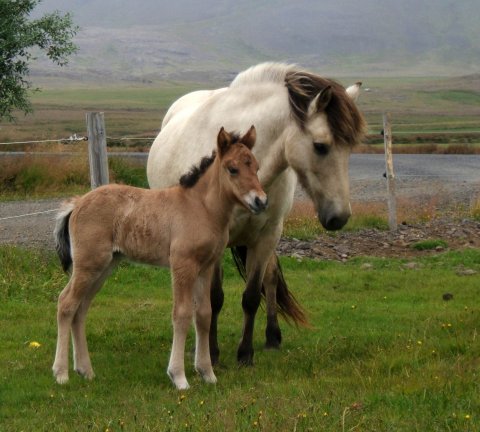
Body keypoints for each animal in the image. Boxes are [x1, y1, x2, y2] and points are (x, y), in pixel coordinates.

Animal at [52, 126, 266, 390]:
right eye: (232, 168)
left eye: (256, 167)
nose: (261, 201)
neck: (201, 208)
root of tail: (78, 203)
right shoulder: (183, 265)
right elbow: (182, 314)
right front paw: (179, 377)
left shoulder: (205, 267)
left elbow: (204, 315)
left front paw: (207, 373)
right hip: (89, 264)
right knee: (66, 303)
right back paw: (61, 373)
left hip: (104, 267)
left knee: (80, 309)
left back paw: (86, 370)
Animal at [148, 61, 366, 364]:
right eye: (320, 146)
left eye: (350, 148)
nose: (339, 217)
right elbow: (214, 297)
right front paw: (212, 352)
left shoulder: (267, 236)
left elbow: (252, 295)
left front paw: (245, 353)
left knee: (271, 277)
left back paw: (272, 337)